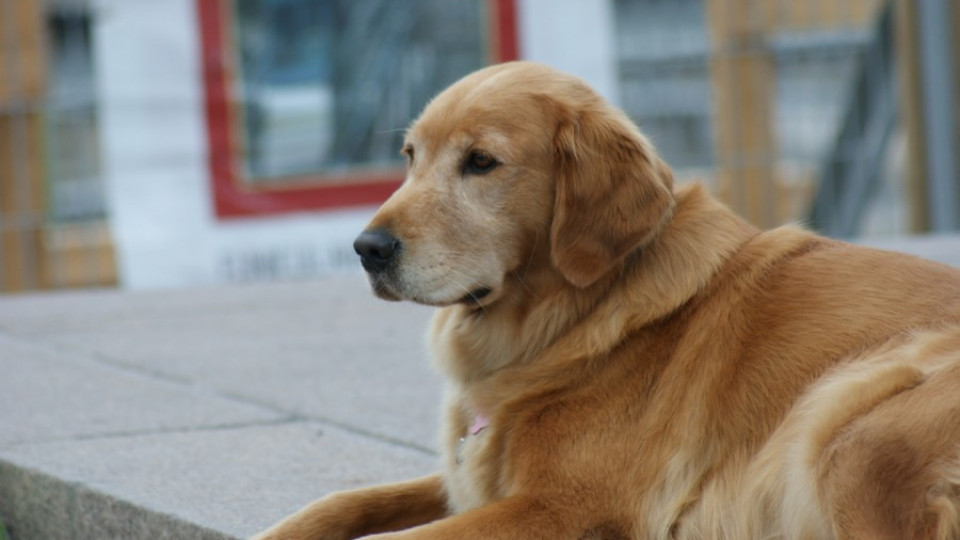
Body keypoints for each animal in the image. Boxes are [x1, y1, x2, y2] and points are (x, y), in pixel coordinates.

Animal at [255, 61, 960, 536]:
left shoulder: (562, 508)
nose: (366, 247)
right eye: (409, 156)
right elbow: (342, 503)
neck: (570, 321)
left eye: (480, 162)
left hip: (851, 426)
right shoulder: (472, 478)